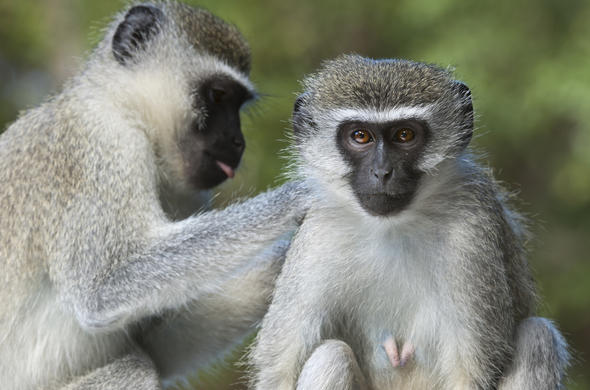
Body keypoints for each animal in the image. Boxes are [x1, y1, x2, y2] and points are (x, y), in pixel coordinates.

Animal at [0, 3, 308, 390]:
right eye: (218, 95)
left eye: (238, 103)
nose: (238, 142)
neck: (123, 106)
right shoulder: (101, 144)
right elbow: (103, 286)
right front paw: (301, 195)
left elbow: (159, 342)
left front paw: (285, 261)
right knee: (136, 368)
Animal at [251, 54, 572, 390]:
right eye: (360, 136)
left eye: (404, 135)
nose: (382, 172)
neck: (391, 228)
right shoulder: (318, 232)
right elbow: (279, 372)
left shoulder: (472, 228)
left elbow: (470, 374)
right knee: (331, 355)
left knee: (538, 337)